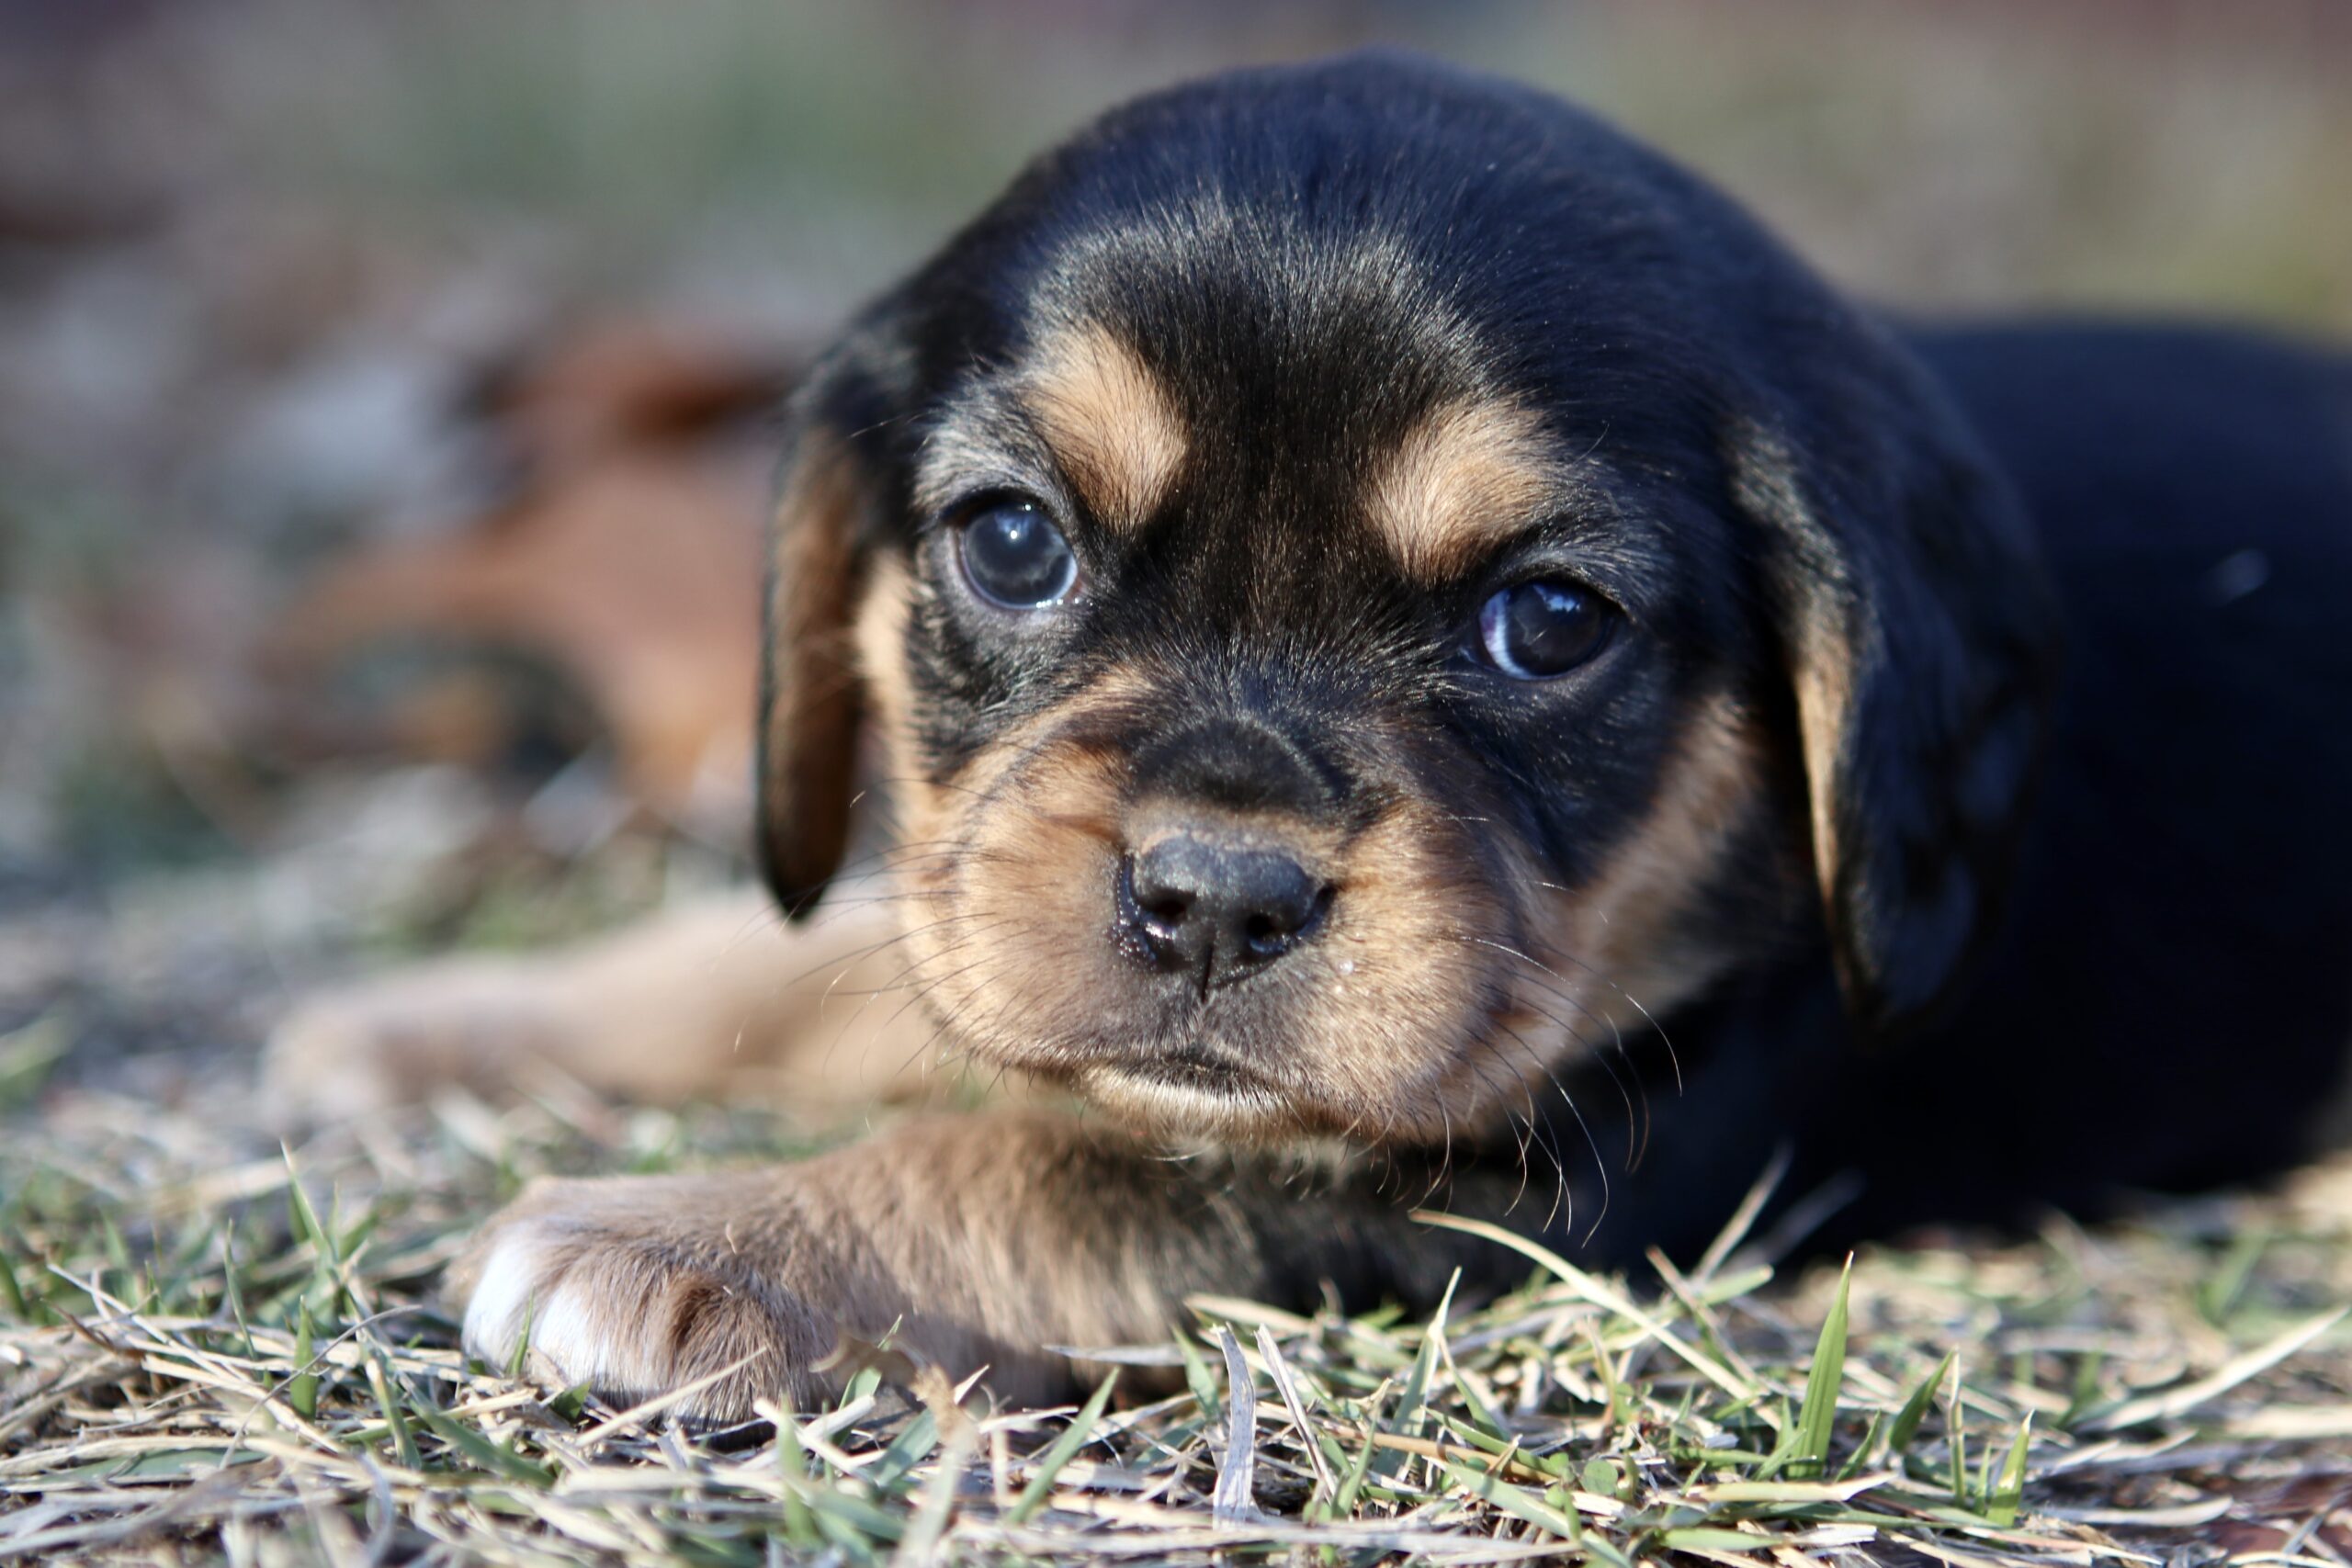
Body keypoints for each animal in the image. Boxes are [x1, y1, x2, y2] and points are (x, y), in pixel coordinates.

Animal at [448, 55, 2352, 1419]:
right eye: (1013, 541)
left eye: (1551, 620)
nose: (1213, 903)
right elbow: (800, 960)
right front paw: (451, 1020)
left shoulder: (1533, 1189)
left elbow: (1070, 1168)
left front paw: (700, 1236)